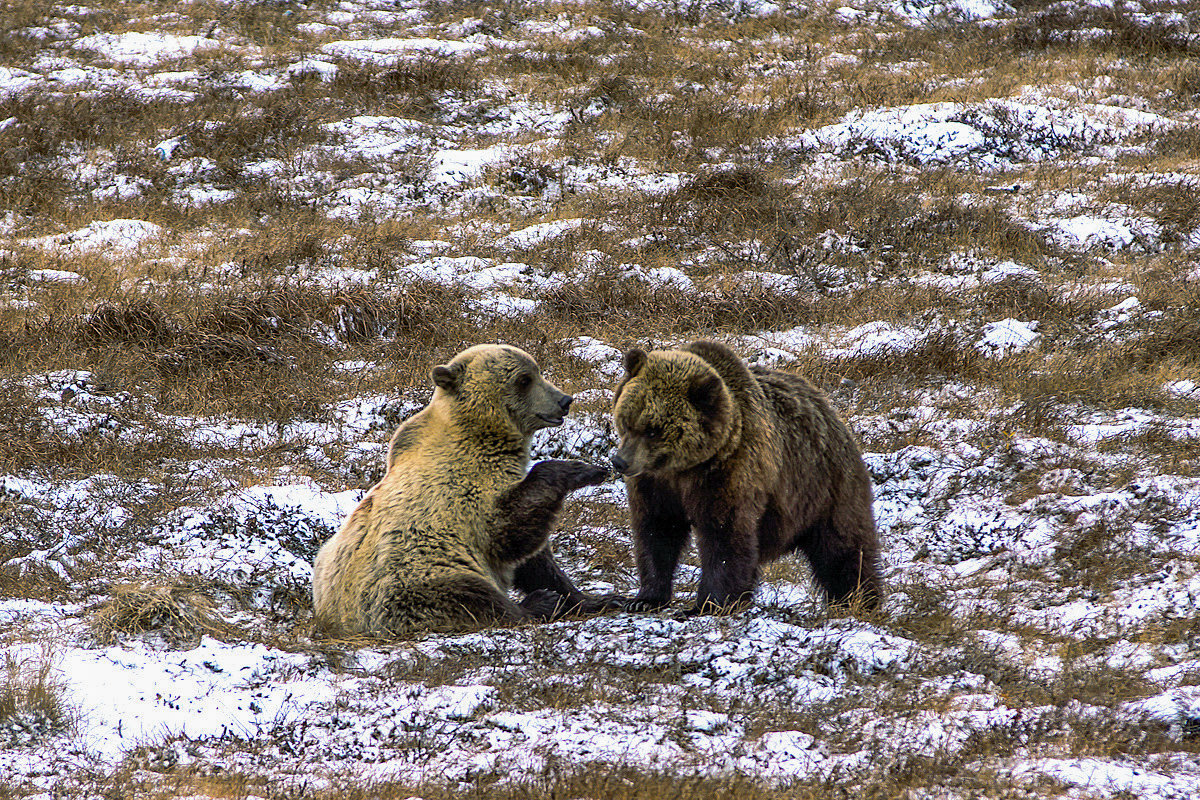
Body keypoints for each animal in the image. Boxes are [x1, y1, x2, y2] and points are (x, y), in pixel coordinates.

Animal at [312, 345, 609, 638]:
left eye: (537, 371)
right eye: (524, 379)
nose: (564, 401)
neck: (480, 436)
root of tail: (338, 622)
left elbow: (538, 562)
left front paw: (595, 598)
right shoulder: (463, 493)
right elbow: (507, 531)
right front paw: (582, 470)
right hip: (414, 577)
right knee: (468, 596)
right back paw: (536, 604)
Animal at [609, 340, 883, 618]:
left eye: (653, 430)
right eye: (627, 420)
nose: (620, 461)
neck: (685, 468)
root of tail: (827, 407)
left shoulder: (727, 474)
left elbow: (724, 537)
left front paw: (706, 605)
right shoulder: (656, 484)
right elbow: (657, 531)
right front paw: (644, 598)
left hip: (824, 487)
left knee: (843, 547)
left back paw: (859, 601)